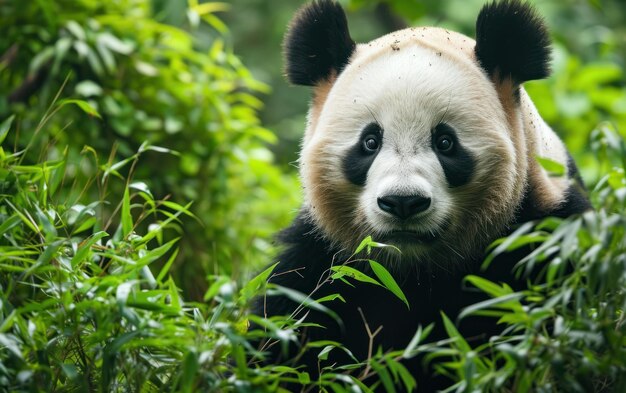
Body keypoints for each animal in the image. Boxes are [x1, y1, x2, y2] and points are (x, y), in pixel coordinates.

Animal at [251, 0, 588, 388]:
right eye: (370, 142)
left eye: (445, 142)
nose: (403, 202)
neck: (413, 270)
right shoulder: (322, 259)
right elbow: (283, 335)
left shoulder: (545, 239)